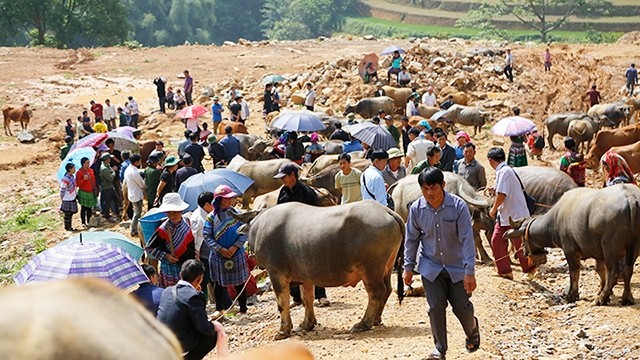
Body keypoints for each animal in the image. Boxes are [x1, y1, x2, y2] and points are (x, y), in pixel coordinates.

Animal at [232, 201, 402, 338]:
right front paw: (307, 324)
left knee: (377, 292)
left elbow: (282, 303)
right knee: (387, 289)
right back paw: (376, 319)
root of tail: (387, 211)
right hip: (386, 267)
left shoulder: (276, 274)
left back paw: (363, 324)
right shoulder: (305, 277)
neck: (260, 226)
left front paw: (283, 331)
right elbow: (307, 299)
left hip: (370, 270)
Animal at [504, 186, 640, 306]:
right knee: (627, 270)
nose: (524, 253)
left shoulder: (570, 251)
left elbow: (574, 272)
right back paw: (626, 298)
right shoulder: (598, 254)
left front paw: (572, 295)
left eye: (523, 238)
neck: (555, 220)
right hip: (633, 247)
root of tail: (630, 197)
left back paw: (601, 299)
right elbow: (600, 271)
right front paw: (601, 290)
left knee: (613, 273)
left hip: (610, 248)